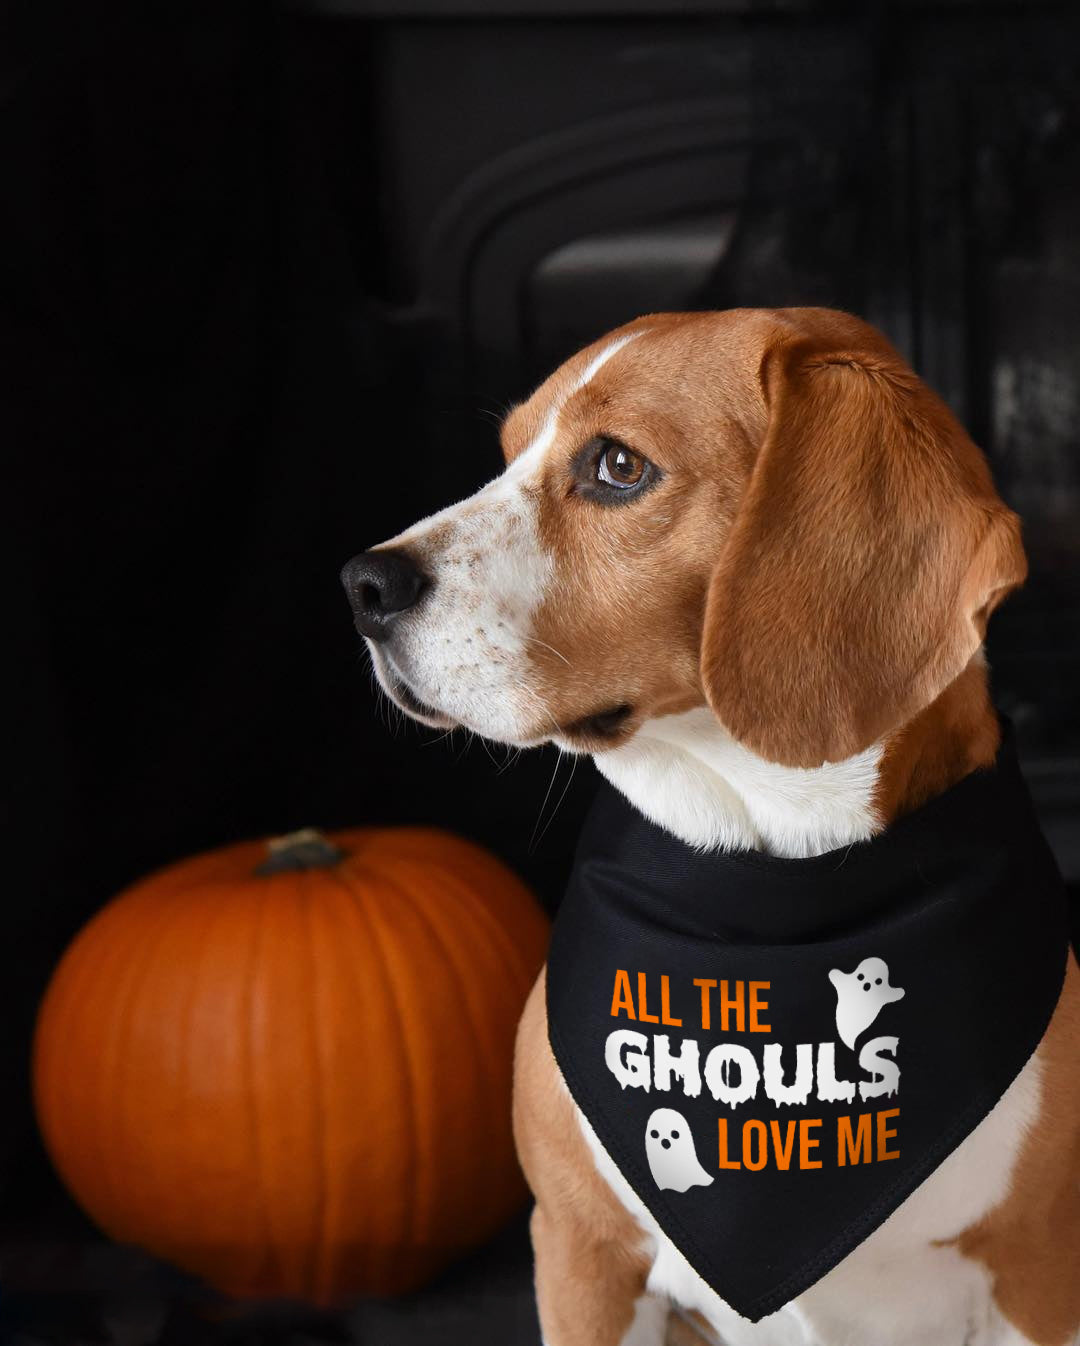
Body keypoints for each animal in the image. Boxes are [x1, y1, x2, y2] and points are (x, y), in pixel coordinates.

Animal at [339, 309, 1077, 1346]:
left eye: (616, 466)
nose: (362, 586)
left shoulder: (1040, 1269)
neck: (775, 876)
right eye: (508, 454)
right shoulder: (582, 1253)